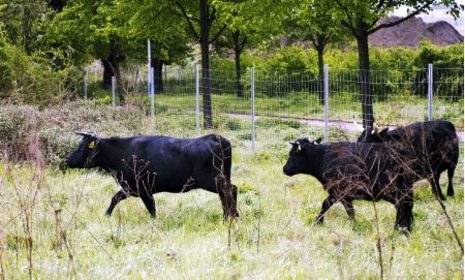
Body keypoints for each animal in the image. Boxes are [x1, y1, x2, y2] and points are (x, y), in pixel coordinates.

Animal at [65, 132, 239, 220]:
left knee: (230, 190)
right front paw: (107, 215)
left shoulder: (142, 189)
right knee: (227, 193)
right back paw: (230, 216)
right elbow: (115, 198)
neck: (123, 152)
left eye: (83, 148)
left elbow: (151, 209)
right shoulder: (131, 188)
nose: (67, 160)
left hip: (212, 180)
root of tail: (216, 137)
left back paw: (231, 216)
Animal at [282, 137, 414, 232]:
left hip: (391, 189)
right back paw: (405, 228)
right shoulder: (345, 196)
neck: (322, 157)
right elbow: (350, 210)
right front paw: (353, 224)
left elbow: (325, 204)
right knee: (406, 205)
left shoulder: (338, 191)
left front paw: (318, 222)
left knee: (402, 205)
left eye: (292, 154)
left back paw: (400, 229)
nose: (284, 169)